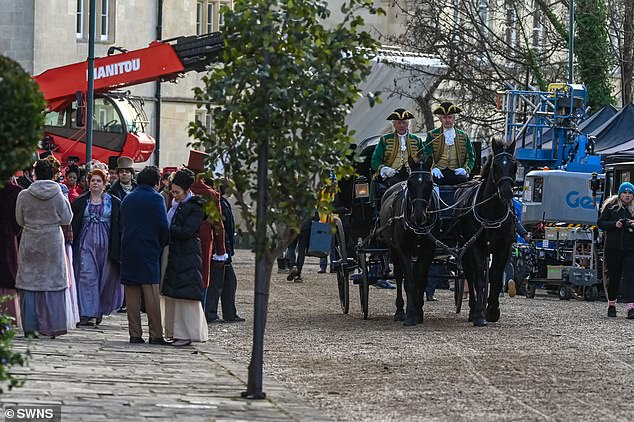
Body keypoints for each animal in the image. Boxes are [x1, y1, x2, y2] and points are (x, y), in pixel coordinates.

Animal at [378, 155, 436, 326]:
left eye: (431, 184)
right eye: (410, 184)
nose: (418, 216)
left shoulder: (429, 250)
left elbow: (421, 281)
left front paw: (418, 313)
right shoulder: (404, 249)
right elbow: (408, 282)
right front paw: (410, 316)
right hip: (392, 249)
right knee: (398, 276)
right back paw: (399, 311)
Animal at [452, 140, 516, 328]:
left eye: (514, 165)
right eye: (495, 165)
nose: (506, 193)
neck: (492, 212)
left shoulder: (503, 247)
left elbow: (495, 276)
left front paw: (493, 310)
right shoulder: (476, 246)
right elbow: (480, 277)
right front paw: (480, 314)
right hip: (464, 249)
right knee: (470, 275)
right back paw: (473, 309)